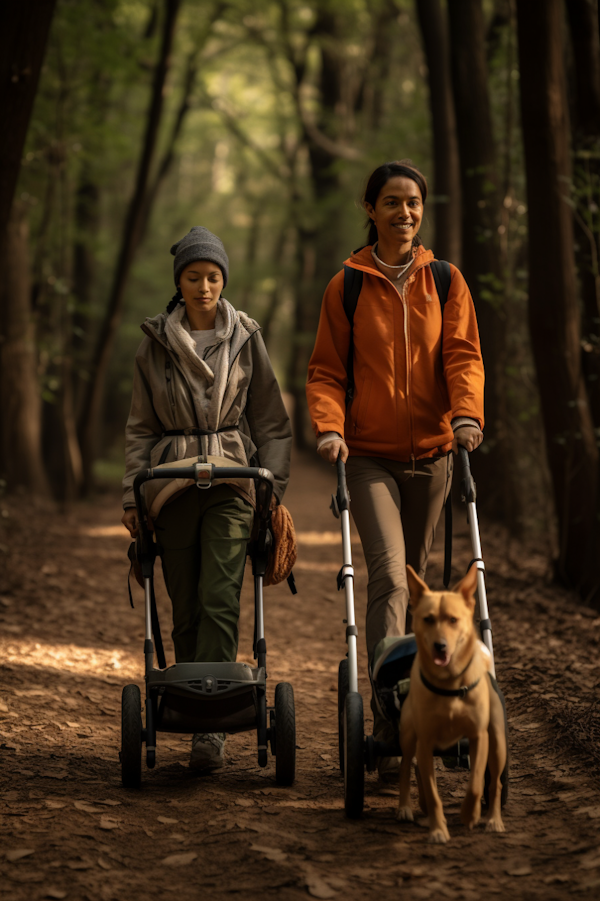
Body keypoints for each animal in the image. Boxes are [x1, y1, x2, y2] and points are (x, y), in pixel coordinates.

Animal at [398, 568, 506, 840]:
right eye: (428, 619)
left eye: (454, 620)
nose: (440, 645)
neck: (450, 683)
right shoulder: (425, 742)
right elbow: (432, 792)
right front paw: (438, 830)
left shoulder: (479, 737)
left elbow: (477, 782)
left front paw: (471, 814)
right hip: (409, 736)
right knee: (406, 766)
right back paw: (406, 807)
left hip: (498, 742)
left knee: (496, 781)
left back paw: (494, 819)